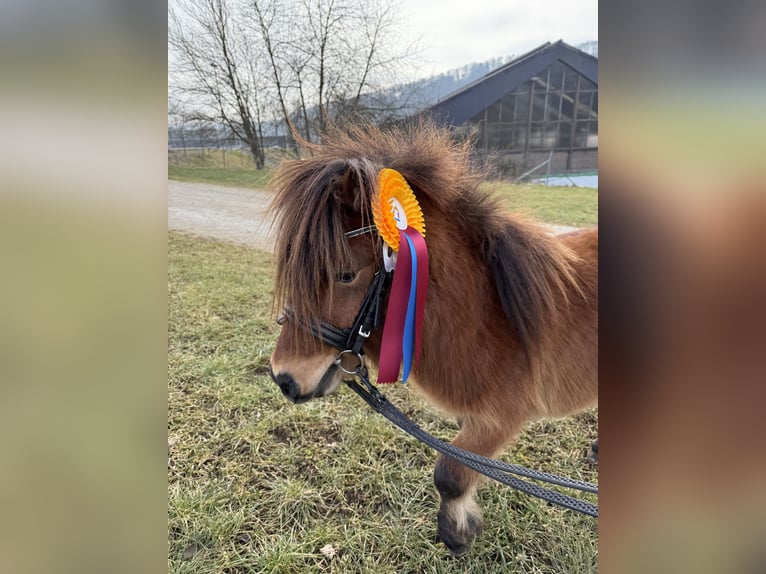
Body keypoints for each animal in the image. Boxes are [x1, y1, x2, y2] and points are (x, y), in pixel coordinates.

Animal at [268, 122, 598, 555]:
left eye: (345, 274)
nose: (283, 378)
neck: (487, 314)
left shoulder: (500, 417)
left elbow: (449, 474)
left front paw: (457, 532)